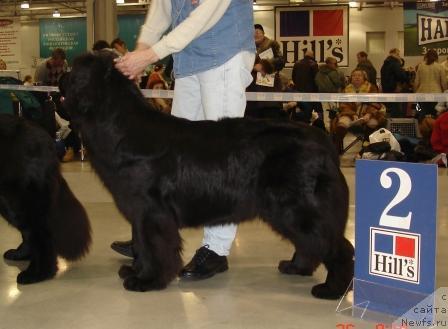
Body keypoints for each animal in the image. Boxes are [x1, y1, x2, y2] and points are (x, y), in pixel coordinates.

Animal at [59, 52, 354, 300]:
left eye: (73, 68)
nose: (58, 76)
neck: (118, 124)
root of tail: (324, 141)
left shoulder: (152, 211)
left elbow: (154, 246)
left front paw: (148, 280)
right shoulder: (138, 210)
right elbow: (141, 243)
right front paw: (136, 270)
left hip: (297, 207)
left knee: (335, 245)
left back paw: (333, 289)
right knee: (310, 241)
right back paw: (297, 266)